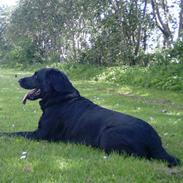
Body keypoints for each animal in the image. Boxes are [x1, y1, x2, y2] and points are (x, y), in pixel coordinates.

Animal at [1, 68, 181, 167]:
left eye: (36, 75)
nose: (19, 80)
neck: (61, 98)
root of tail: (156, 141)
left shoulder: (41, 134)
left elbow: (16, 133)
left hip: (108, 134)